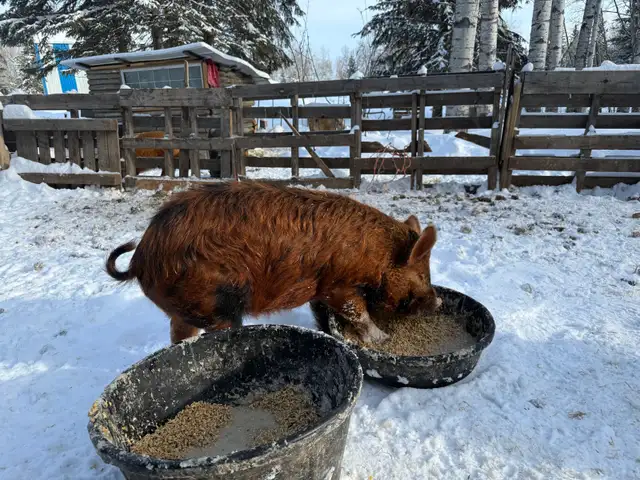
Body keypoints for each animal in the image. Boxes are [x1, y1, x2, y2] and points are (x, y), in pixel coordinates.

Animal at [105, 181, 442, 345]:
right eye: (423, 275)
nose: (438, 302)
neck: (377, 255)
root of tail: (141, 257)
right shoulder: (338, 285)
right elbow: (357, 313)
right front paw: (383, 339)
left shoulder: (321, 291)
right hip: (216, 303)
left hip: (186, 308)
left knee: (178, 335)